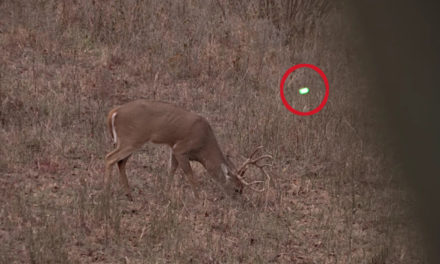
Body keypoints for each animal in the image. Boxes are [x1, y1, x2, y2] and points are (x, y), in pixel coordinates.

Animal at [105, 99, 272, 200]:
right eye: (237, 189)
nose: (239, 201)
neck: (204, 145)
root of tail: (114, 112)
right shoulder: (181, 148)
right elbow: (190, 175)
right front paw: (198, 198)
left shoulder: (174, 148)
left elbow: (171, 170)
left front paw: (165, 194)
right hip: (131, 139)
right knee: (109, 158)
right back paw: (107, 191)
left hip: (128, 141)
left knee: (120, 162)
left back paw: (129, 195)